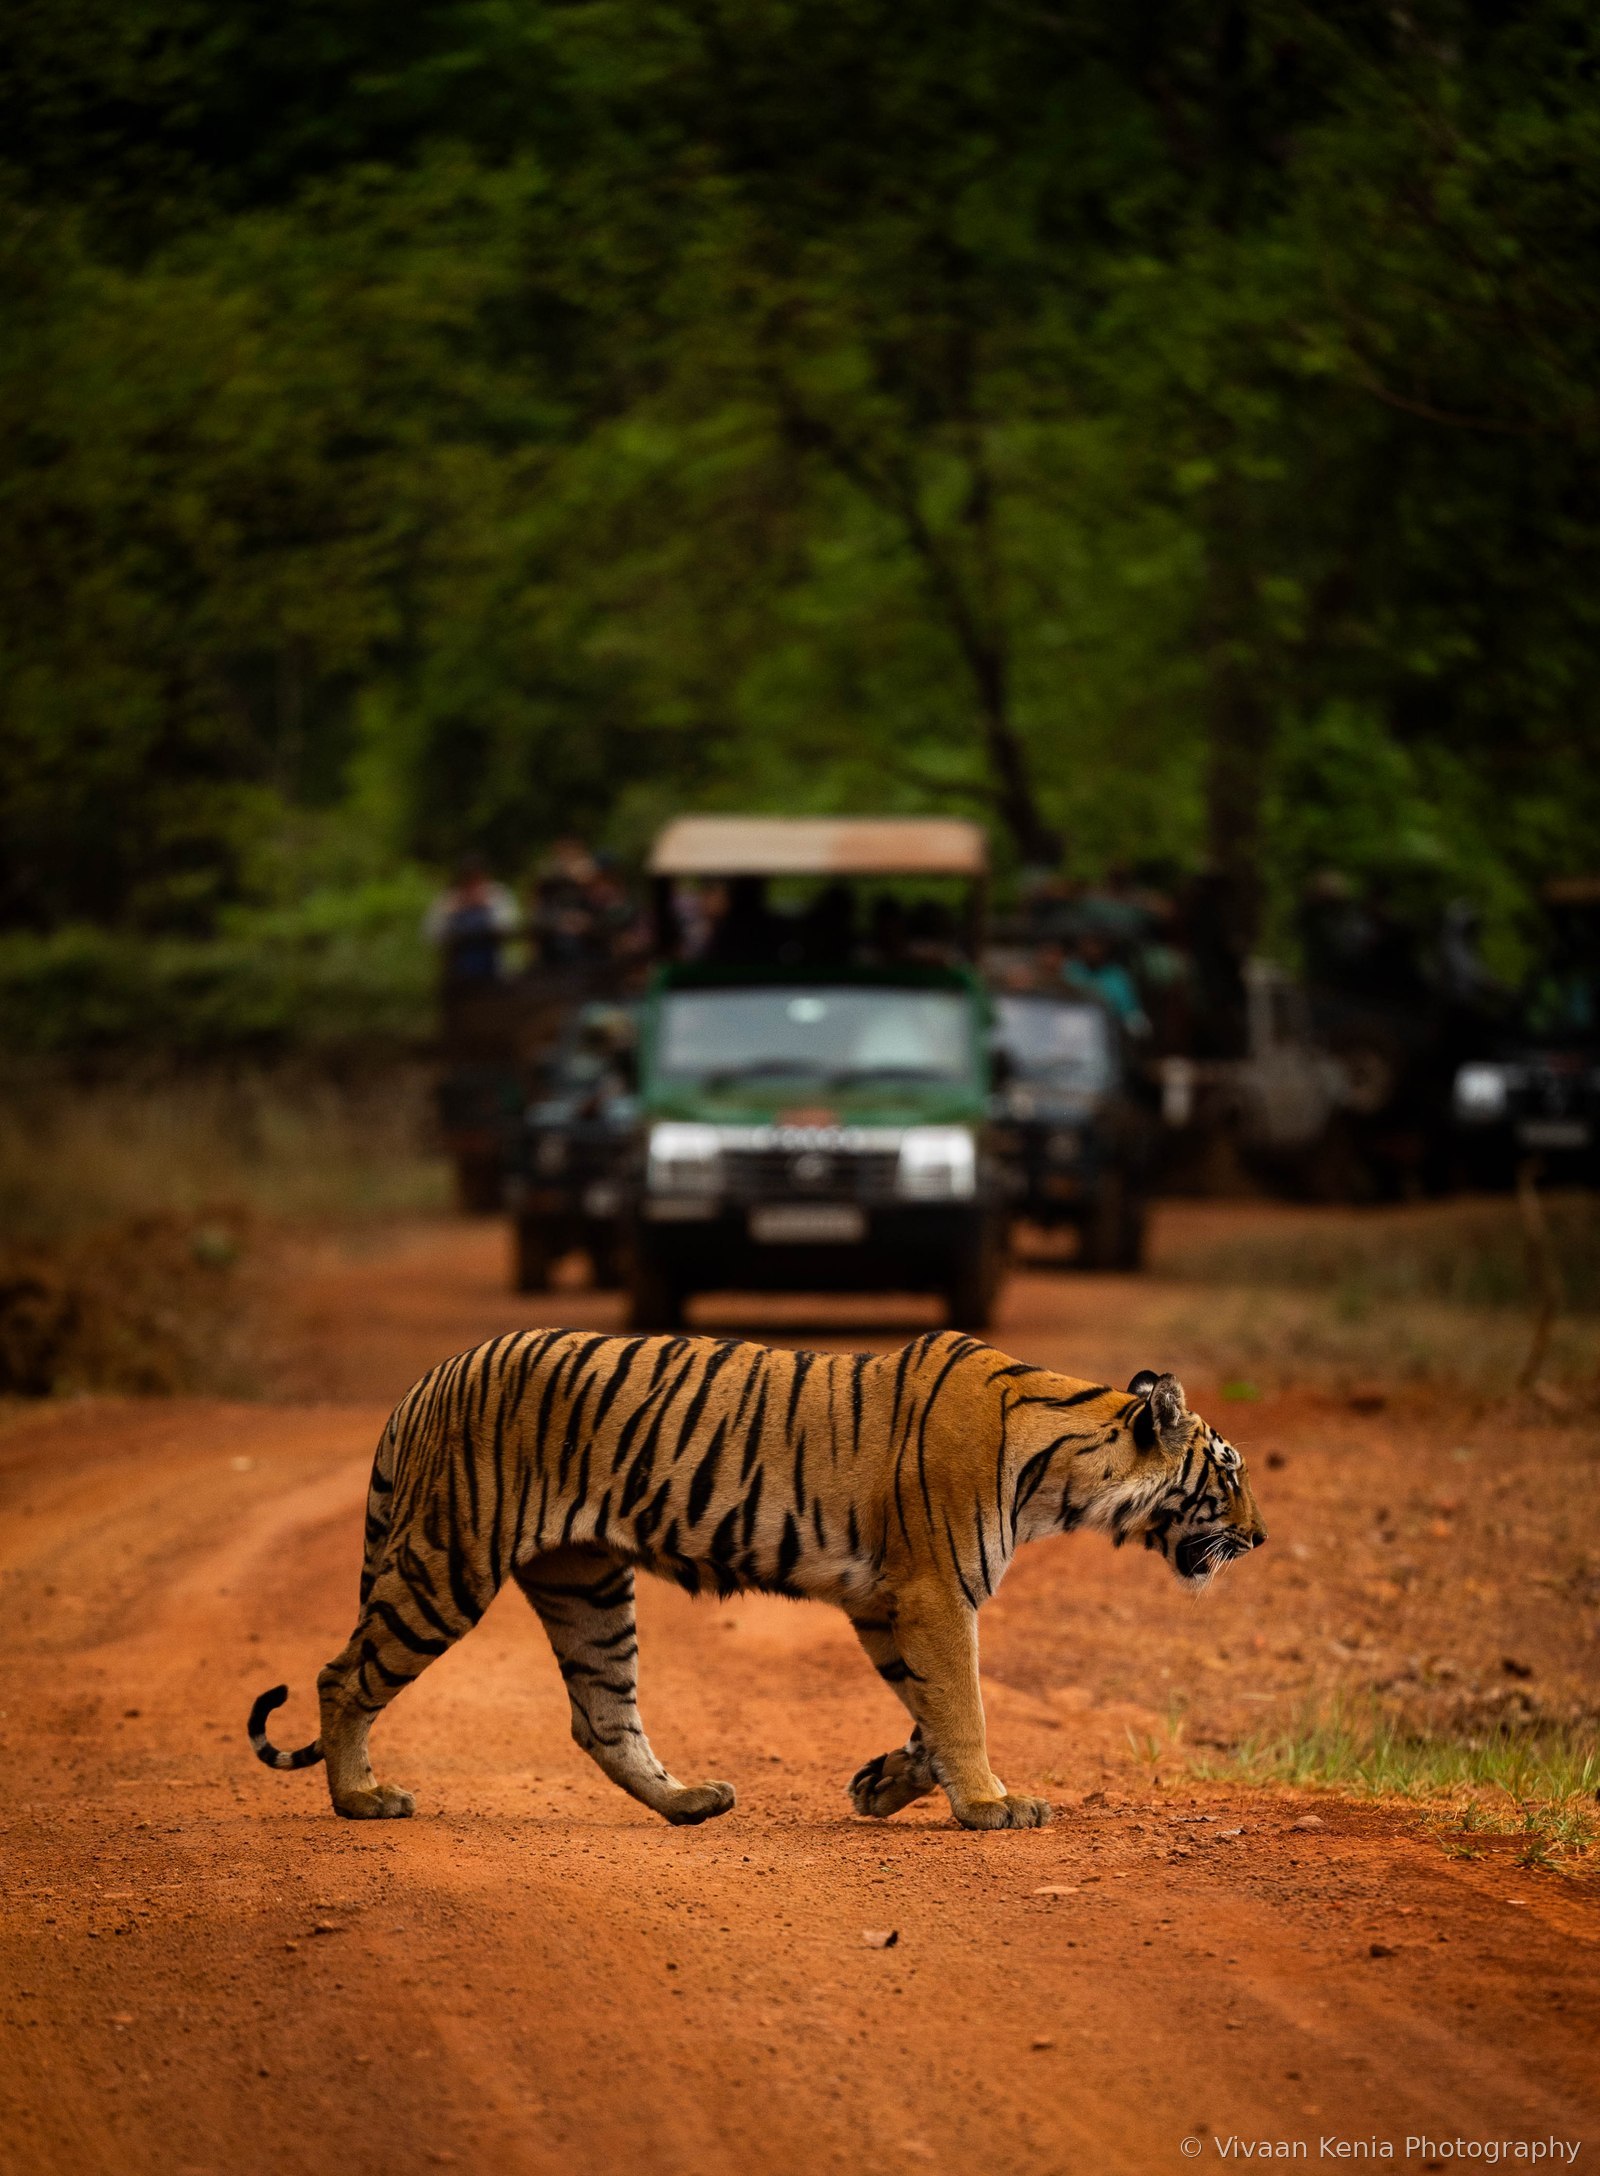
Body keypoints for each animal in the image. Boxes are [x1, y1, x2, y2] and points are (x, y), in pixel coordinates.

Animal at [249, 1328, 1265, 1831]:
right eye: (1230, 1473)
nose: (1258, 1538)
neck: (1067, 1474)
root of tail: (426, 1379)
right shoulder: (934, 1594)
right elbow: (964, 1706)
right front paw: (990, 1805)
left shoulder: (887, 1604)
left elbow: (930, 1712)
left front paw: (885, 1785)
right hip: (449, 1560)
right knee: (343, 1676)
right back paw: (361, 1800)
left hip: (585, 1584)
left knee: (600, 1715)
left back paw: (689, 1804)